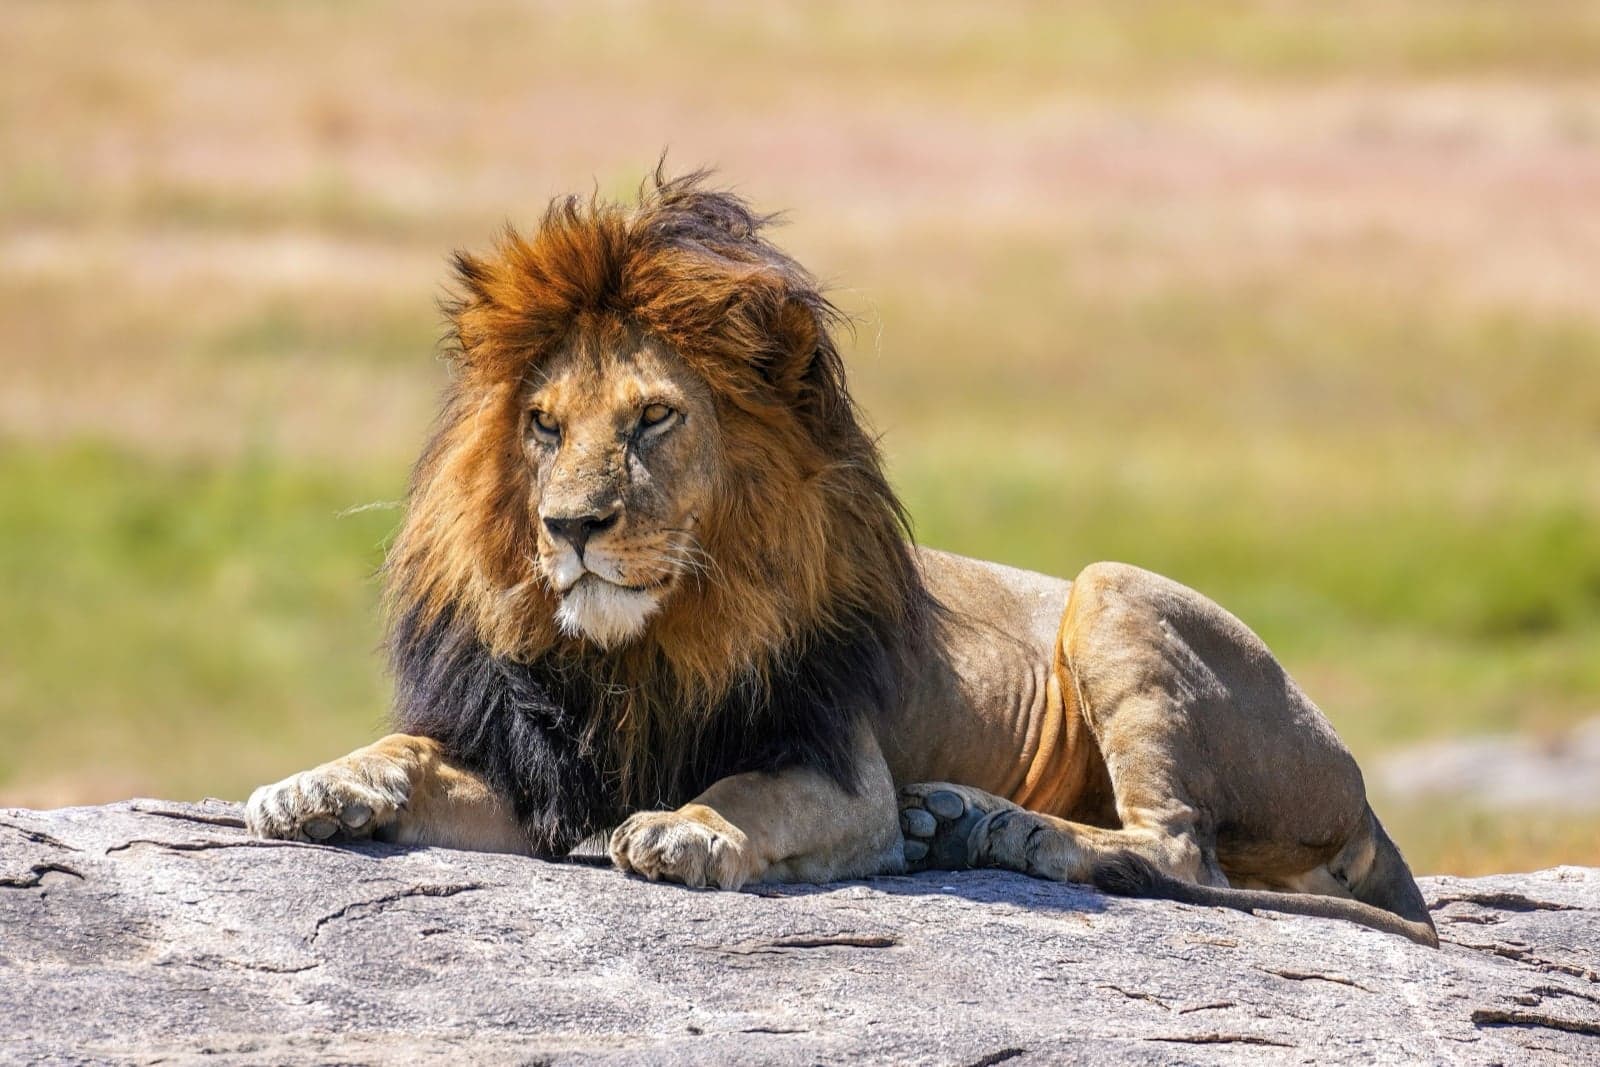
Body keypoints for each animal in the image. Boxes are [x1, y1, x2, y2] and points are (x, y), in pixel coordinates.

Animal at [246, 170, 1438, 946]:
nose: (570, 526)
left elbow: (748, 792)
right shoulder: (539, 772)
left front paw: (688, 828)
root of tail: (1362, 792)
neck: (644, 650)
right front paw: (317, 785)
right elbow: (405, 749)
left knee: (1177, 850)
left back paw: (987, 825)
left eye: (652, 418)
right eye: (542, 424)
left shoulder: (840, 767)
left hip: (1112, 593)